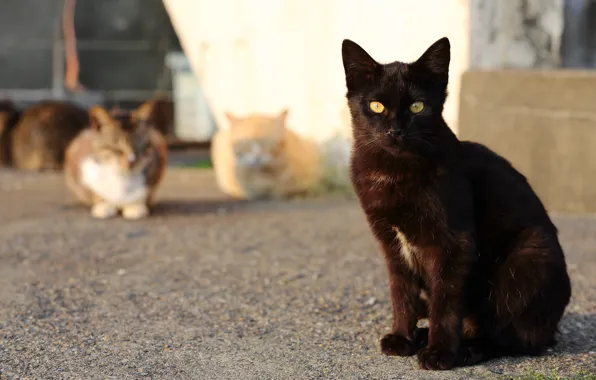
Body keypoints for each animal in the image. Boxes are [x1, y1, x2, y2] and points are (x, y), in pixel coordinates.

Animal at [342, 37, 572, 370]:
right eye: (376, 106)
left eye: (417, 106)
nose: (395, 131)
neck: (393, 172)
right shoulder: (391, 244)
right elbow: (401, 293)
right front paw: (402, 338)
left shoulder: (454, 242)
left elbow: (446, 301)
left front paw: (440, 354)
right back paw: (424, 336)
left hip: (528, 258)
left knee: (513, 338)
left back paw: (467, 349)